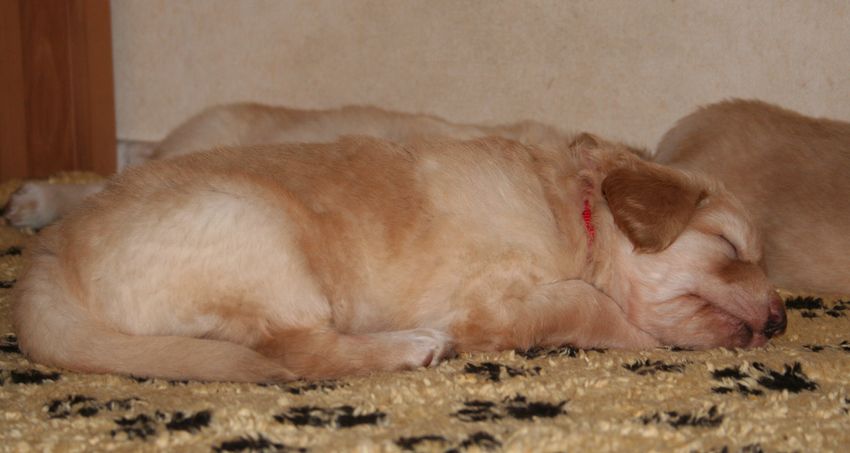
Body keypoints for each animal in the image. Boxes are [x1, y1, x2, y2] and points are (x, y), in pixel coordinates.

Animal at [13, 134, 786, 382]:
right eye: (729, 249)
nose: (782, 323)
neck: (579, 216)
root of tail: (46, 260)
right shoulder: (490, 299)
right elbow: (586, 302)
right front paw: (633, 332)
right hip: (261, 235)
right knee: (297, 353)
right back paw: (411, 346)